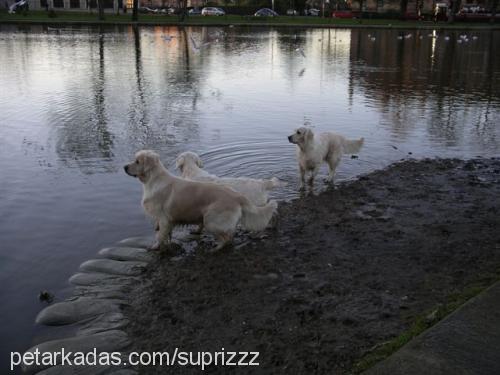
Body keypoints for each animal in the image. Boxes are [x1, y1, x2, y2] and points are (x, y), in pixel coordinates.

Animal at [124, 151, 278, 253]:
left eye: (137, 161)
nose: (125, 167)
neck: (153, 180)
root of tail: (237, 195)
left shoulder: (163, 218)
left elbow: (159, 235)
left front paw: (155, 247)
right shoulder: (169, 220)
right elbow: (167, 234)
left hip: (212, 220)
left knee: (228, 237)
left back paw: (216, 249)